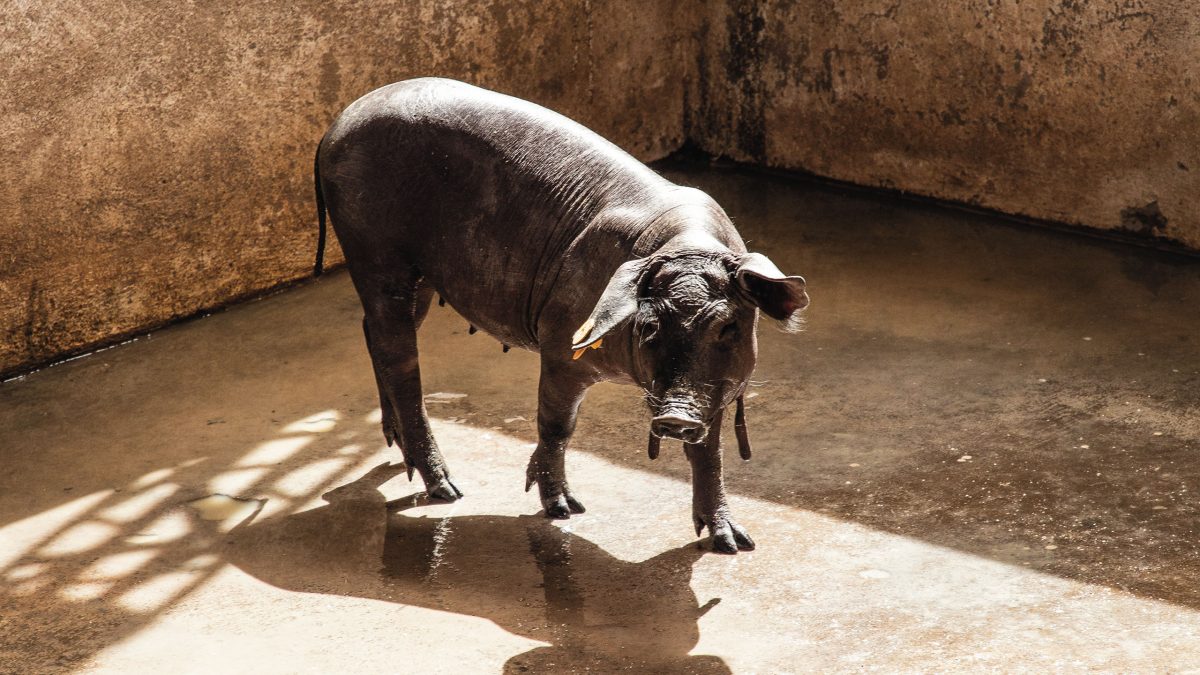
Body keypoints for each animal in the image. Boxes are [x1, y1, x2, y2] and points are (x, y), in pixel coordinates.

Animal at [313, 78, 808, 553]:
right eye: (650, 326)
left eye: (728, 326)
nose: (676, 418)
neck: (684, 243)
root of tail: (336, 125)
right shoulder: (559, 343)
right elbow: (556, 425)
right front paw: (565, 511)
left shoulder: (718, 385)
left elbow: (710, 453)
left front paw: (734, 544)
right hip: (374, 250)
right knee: (397, 356)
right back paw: (447, 491)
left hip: (418, 276)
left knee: (374, 333)